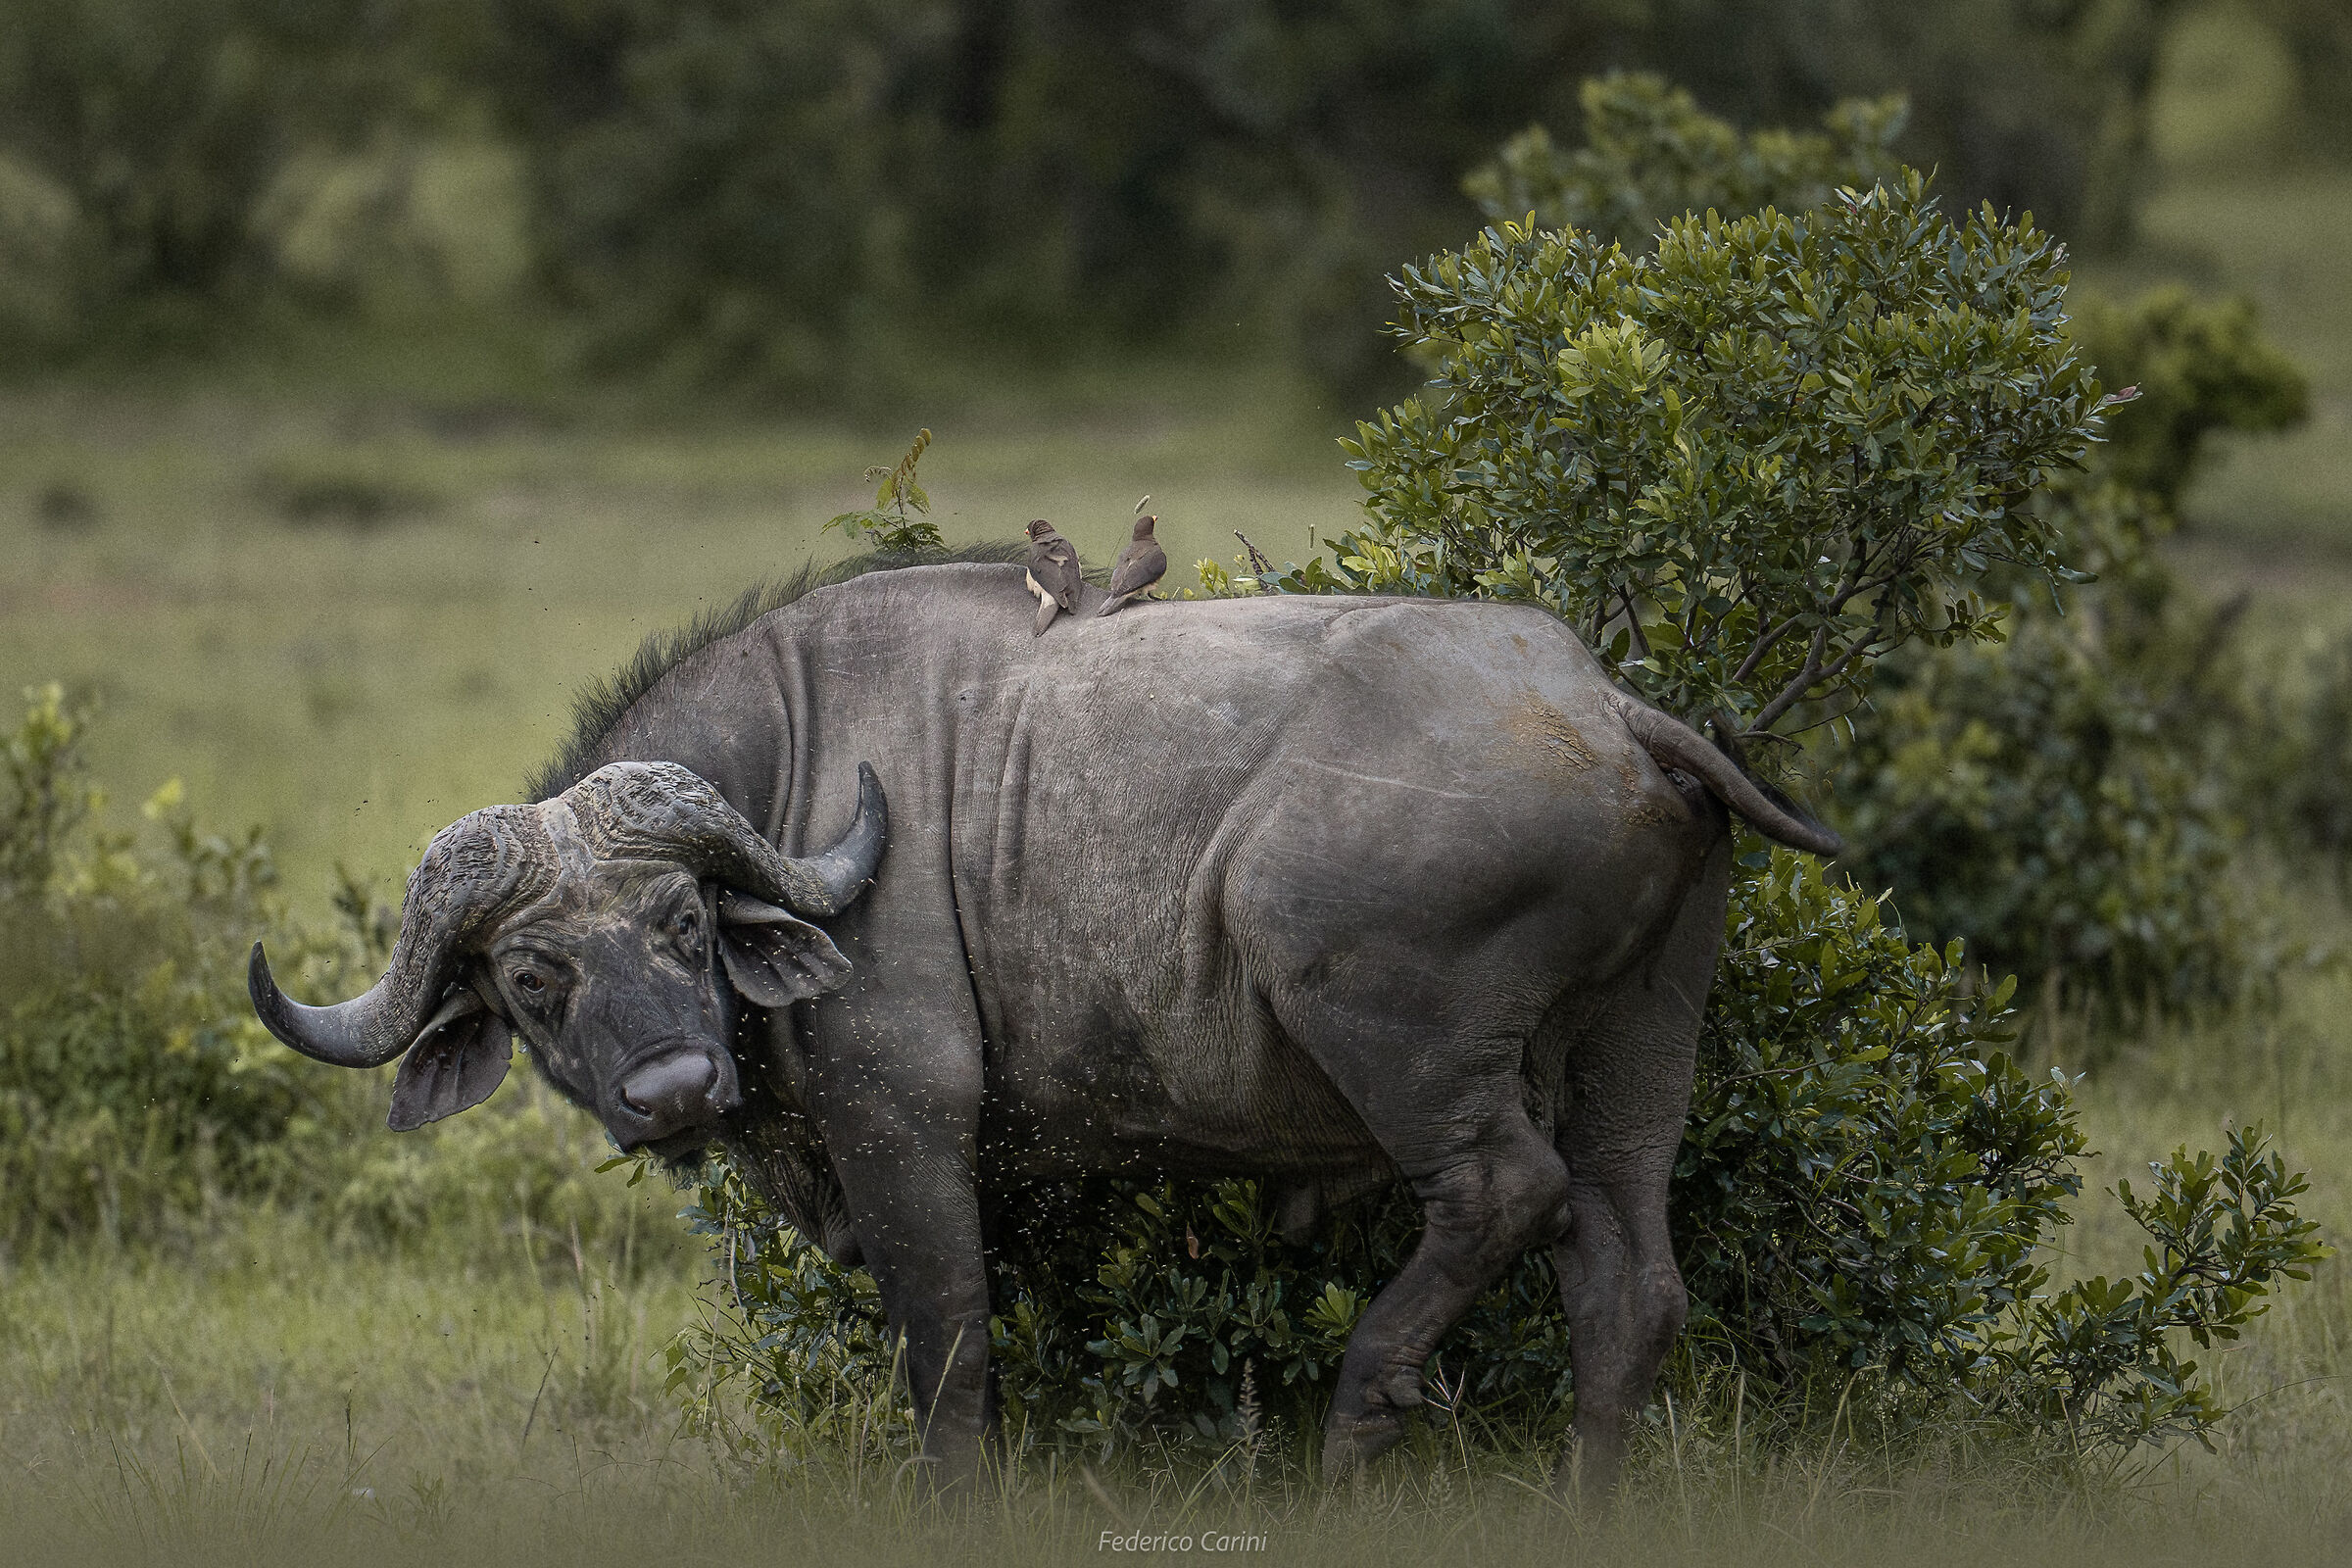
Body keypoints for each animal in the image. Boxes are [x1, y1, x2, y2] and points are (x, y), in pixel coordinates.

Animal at [250, 546, 1837, 1489]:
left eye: (683, 924)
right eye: (535, 980)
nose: (675, 1088)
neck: (798, 778)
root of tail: (1608, 705)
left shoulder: (906, 1138)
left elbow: (947, 1356)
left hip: (1388, 1028)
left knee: (1503, 1192)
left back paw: (1363, 1406)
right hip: (1640, 1049)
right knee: (1629, 1287)